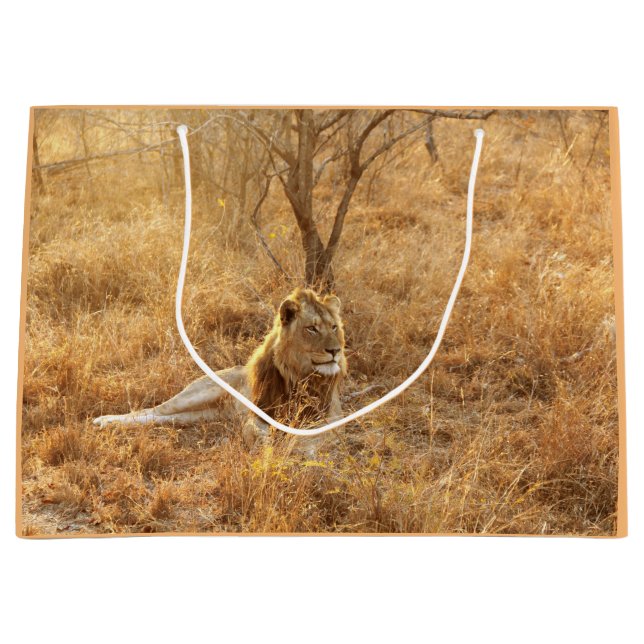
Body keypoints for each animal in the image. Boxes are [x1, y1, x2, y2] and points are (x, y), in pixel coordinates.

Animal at [93, 287, 347, 450]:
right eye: (312, 328)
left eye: (334, 327)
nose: (335, 351)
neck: (301, 375)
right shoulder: (259, 413)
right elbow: (254, 433)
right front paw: (267, 449)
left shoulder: (331, 418)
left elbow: (312, 439)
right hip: (196, 394)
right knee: (151, 410)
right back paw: (105, 421)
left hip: (200, 415)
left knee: (162, 418)